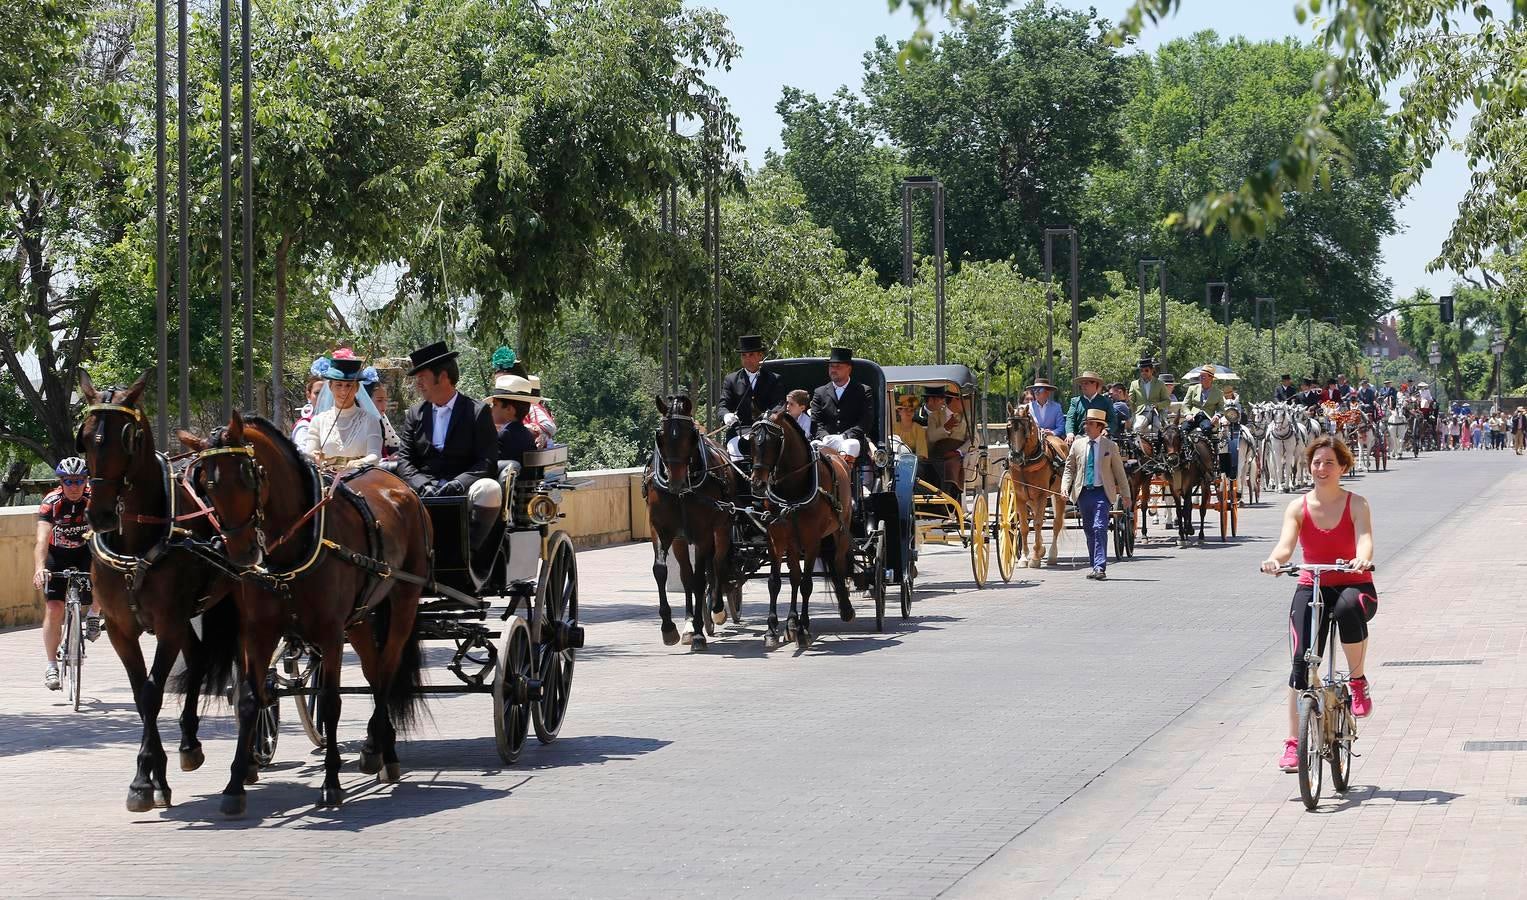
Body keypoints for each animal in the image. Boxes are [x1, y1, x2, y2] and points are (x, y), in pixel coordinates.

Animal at [76, 368, 239, 812]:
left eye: (128, 437)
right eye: (86, 436)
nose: (98, 514)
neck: (137, 537)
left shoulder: (167, 623)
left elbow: (151, 693)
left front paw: (143, 779)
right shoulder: (120, 628)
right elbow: (138, 695)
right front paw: (152, 776)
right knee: (198, 659)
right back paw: (188, 743)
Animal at [180, 409, 430, 812]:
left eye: (248, 474)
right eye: (205, 483)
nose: (241, 553)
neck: (294, 545)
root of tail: (401, 486)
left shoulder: (329, 633)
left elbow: (330, 703)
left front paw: (331, 783)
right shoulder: (259, 631)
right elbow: (249, 699)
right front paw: (235, 786)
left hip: (404, 601)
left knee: (386, 675)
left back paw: (381, 754)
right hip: (360, 619)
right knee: (375, 672)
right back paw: (378, 750)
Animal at [644, 397, 739, 647]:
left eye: (690, 436)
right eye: (660, 436)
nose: (675, 481)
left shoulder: (704, 534)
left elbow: (699, 579)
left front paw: (698, 632)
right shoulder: (661, 530)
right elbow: (662, 571)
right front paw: (670, 627)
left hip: (723, 529)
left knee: (716, 563)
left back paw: (716, 608)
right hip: (681, 540)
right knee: (687, 574)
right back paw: (688, 624)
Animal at [745, 409, 855, 647]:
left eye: (773, 441)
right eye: (751, 440)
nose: (757, 484)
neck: (791, 488)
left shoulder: (812, 539)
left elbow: (807, 584)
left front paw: (804, 630)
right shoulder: (776, 537)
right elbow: (775, 582)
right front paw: (772, 629)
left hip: (840, 531)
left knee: (838, 565)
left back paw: (845, 609)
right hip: (793, 540)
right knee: (794, 575)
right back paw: (792, 623)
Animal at [1007, 406, 1068, 568]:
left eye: (1025, 430)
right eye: (1009, 428)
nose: (1016, 457)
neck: (1026, 463)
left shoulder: (1041, 495)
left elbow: (1038, 523)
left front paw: (1034, 558)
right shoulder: (1020, 497)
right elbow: (1024, 526)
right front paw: (1024, 557)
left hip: (1059, 495)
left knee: (1056, 523)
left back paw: (1052, 554)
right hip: (1031, 499)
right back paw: (1041, 549)